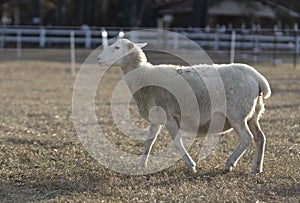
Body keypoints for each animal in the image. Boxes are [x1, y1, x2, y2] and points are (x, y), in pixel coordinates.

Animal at [97, 38, 270, 174]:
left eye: (116, 47)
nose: (98, 59)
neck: (142, 77)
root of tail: (256, 77)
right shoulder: (157, 118)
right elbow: (149, 141)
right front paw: (141, 165)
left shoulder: (169, 117)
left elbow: (177, 142)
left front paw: (191, 165)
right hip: (253, 114)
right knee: (260, 137)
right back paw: (257, 168)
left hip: (237, 114)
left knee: (247, 138)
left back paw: (229, 163)